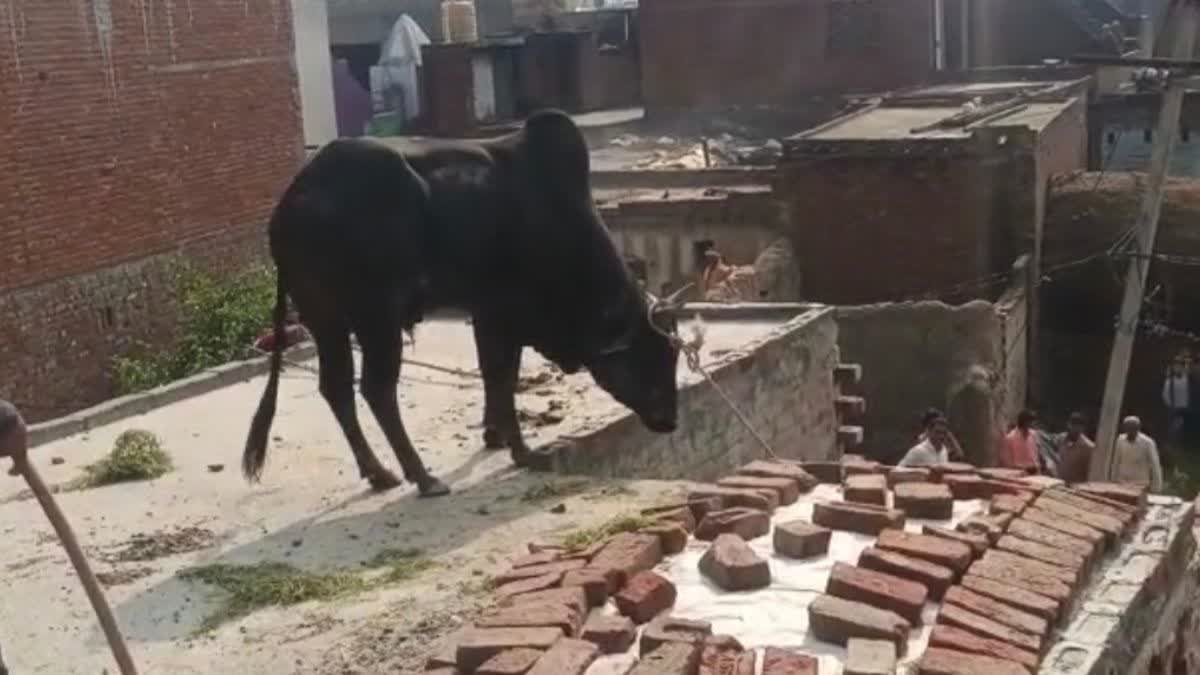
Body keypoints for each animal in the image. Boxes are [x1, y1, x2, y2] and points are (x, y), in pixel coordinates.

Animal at [241, 110, 686, 497]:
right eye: (652, 356)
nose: (670, 420)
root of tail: (292, 204)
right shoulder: (503, 316)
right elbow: (502, 378)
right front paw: (522, 450)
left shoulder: (485, 315)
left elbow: (494, 376)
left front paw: (495, 436)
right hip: (377, 318)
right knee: (376, 389)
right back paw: (423, 477)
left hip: (326, 320)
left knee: (336, 388)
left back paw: (380, 473)